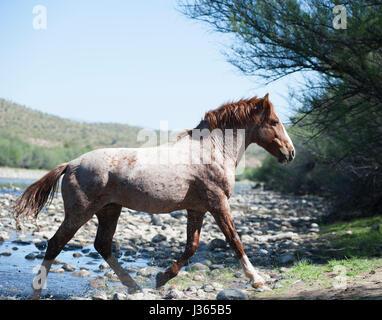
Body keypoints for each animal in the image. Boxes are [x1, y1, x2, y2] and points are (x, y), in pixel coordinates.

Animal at [13, 94, 296, 298]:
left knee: (102, 245)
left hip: (109, 210)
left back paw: (135, 286)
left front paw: (162, 278)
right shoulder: (218, 203)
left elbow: (191, 247)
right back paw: (37, 292)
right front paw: (257, 280)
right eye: (274, 122)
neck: (212, 149)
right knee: (55, 244)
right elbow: (235, 241)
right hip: (79, 213)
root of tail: (71, 164)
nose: (290, 153)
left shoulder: (197, 209)